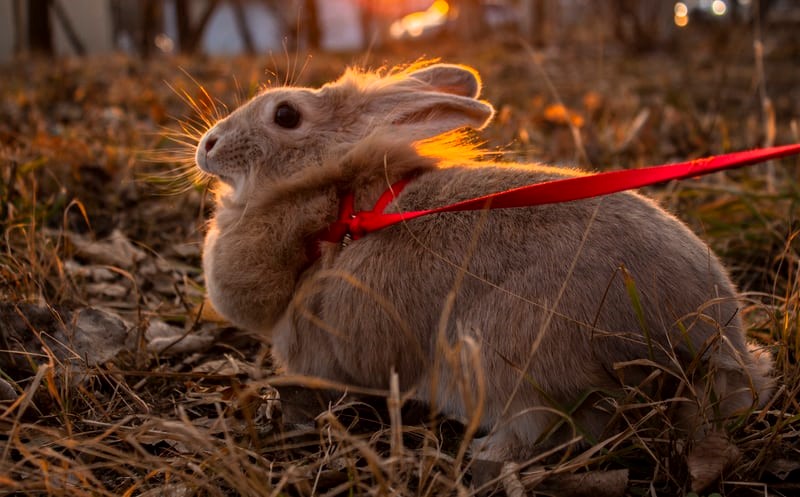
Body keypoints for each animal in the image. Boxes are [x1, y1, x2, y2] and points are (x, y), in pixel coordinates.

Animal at [197, 62, 773, 462]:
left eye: (285, 115)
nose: (208, 145)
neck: (337, 209)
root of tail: (708, 340)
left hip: (508, 361)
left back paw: (484, 454)